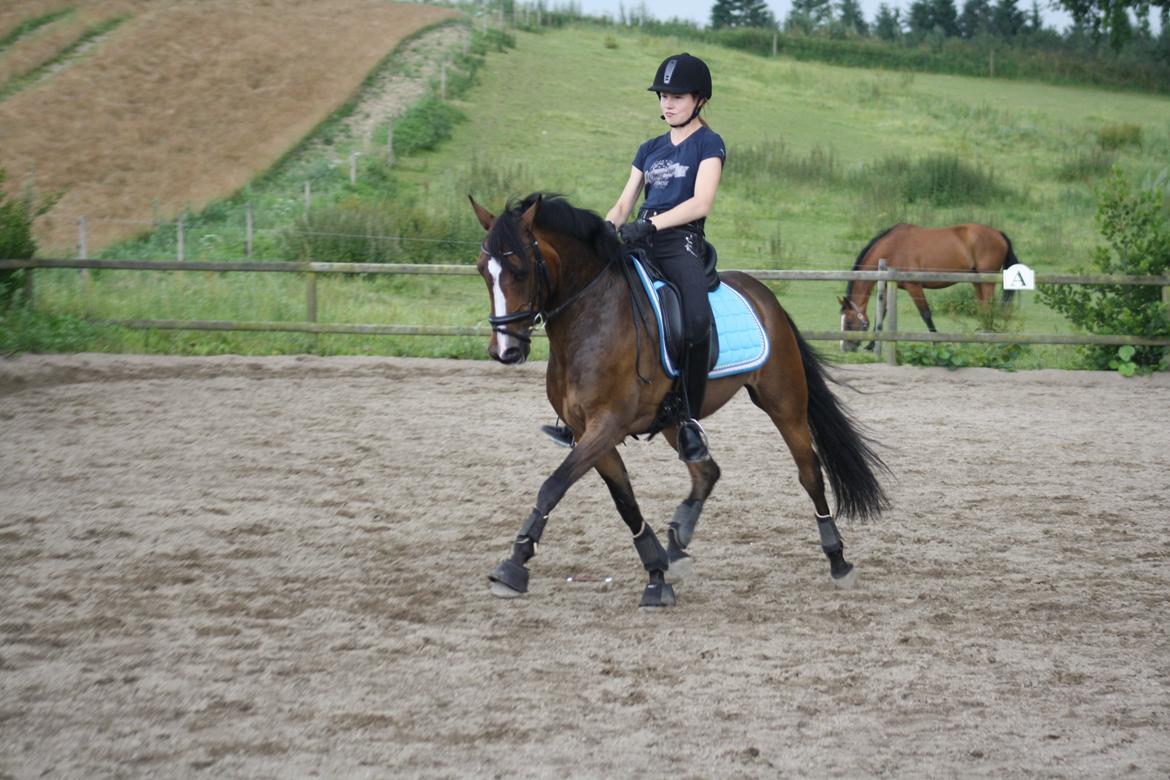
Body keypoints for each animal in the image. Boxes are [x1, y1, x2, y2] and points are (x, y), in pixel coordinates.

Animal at [471, 192, 888, 608]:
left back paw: (838, 559)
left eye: (520, 270)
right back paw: (677, 545)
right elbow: (625, 501)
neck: (592, 316)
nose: (505, 351)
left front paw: (513, 565)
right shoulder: (588, 431)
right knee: (707, 471)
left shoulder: (606, 425)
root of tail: (764, 296)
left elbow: (554, 485)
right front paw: (656, 570)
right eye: (481, 271)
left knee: (809, 472)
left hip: (784, 403)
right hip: (676, 420)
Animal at [839, 223, 1021, 351]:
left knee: (989, 309)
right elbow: (880, 314)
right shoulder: (891, 286)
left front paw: (936, 342)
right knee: (984, 308)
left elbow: (925, 314)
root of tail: (998, 233)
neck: (894, 248)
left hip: (987, 281)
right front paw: (871, 345)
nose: (845, 348)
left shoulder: (914, 286)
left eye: (849, 322)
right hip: (977, 282)